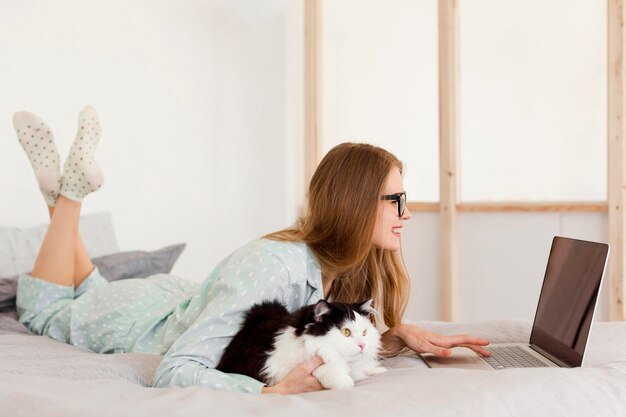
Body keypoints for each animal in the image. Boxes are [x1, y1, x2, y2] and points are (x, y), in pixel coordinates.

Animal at [217, 298, 388, 388]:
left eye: (364, 332)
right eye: (345, 332)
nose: (362, 345)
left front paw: (377, 370)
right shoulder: (275, 368)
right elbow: (322, 368)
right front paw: (344, 381)